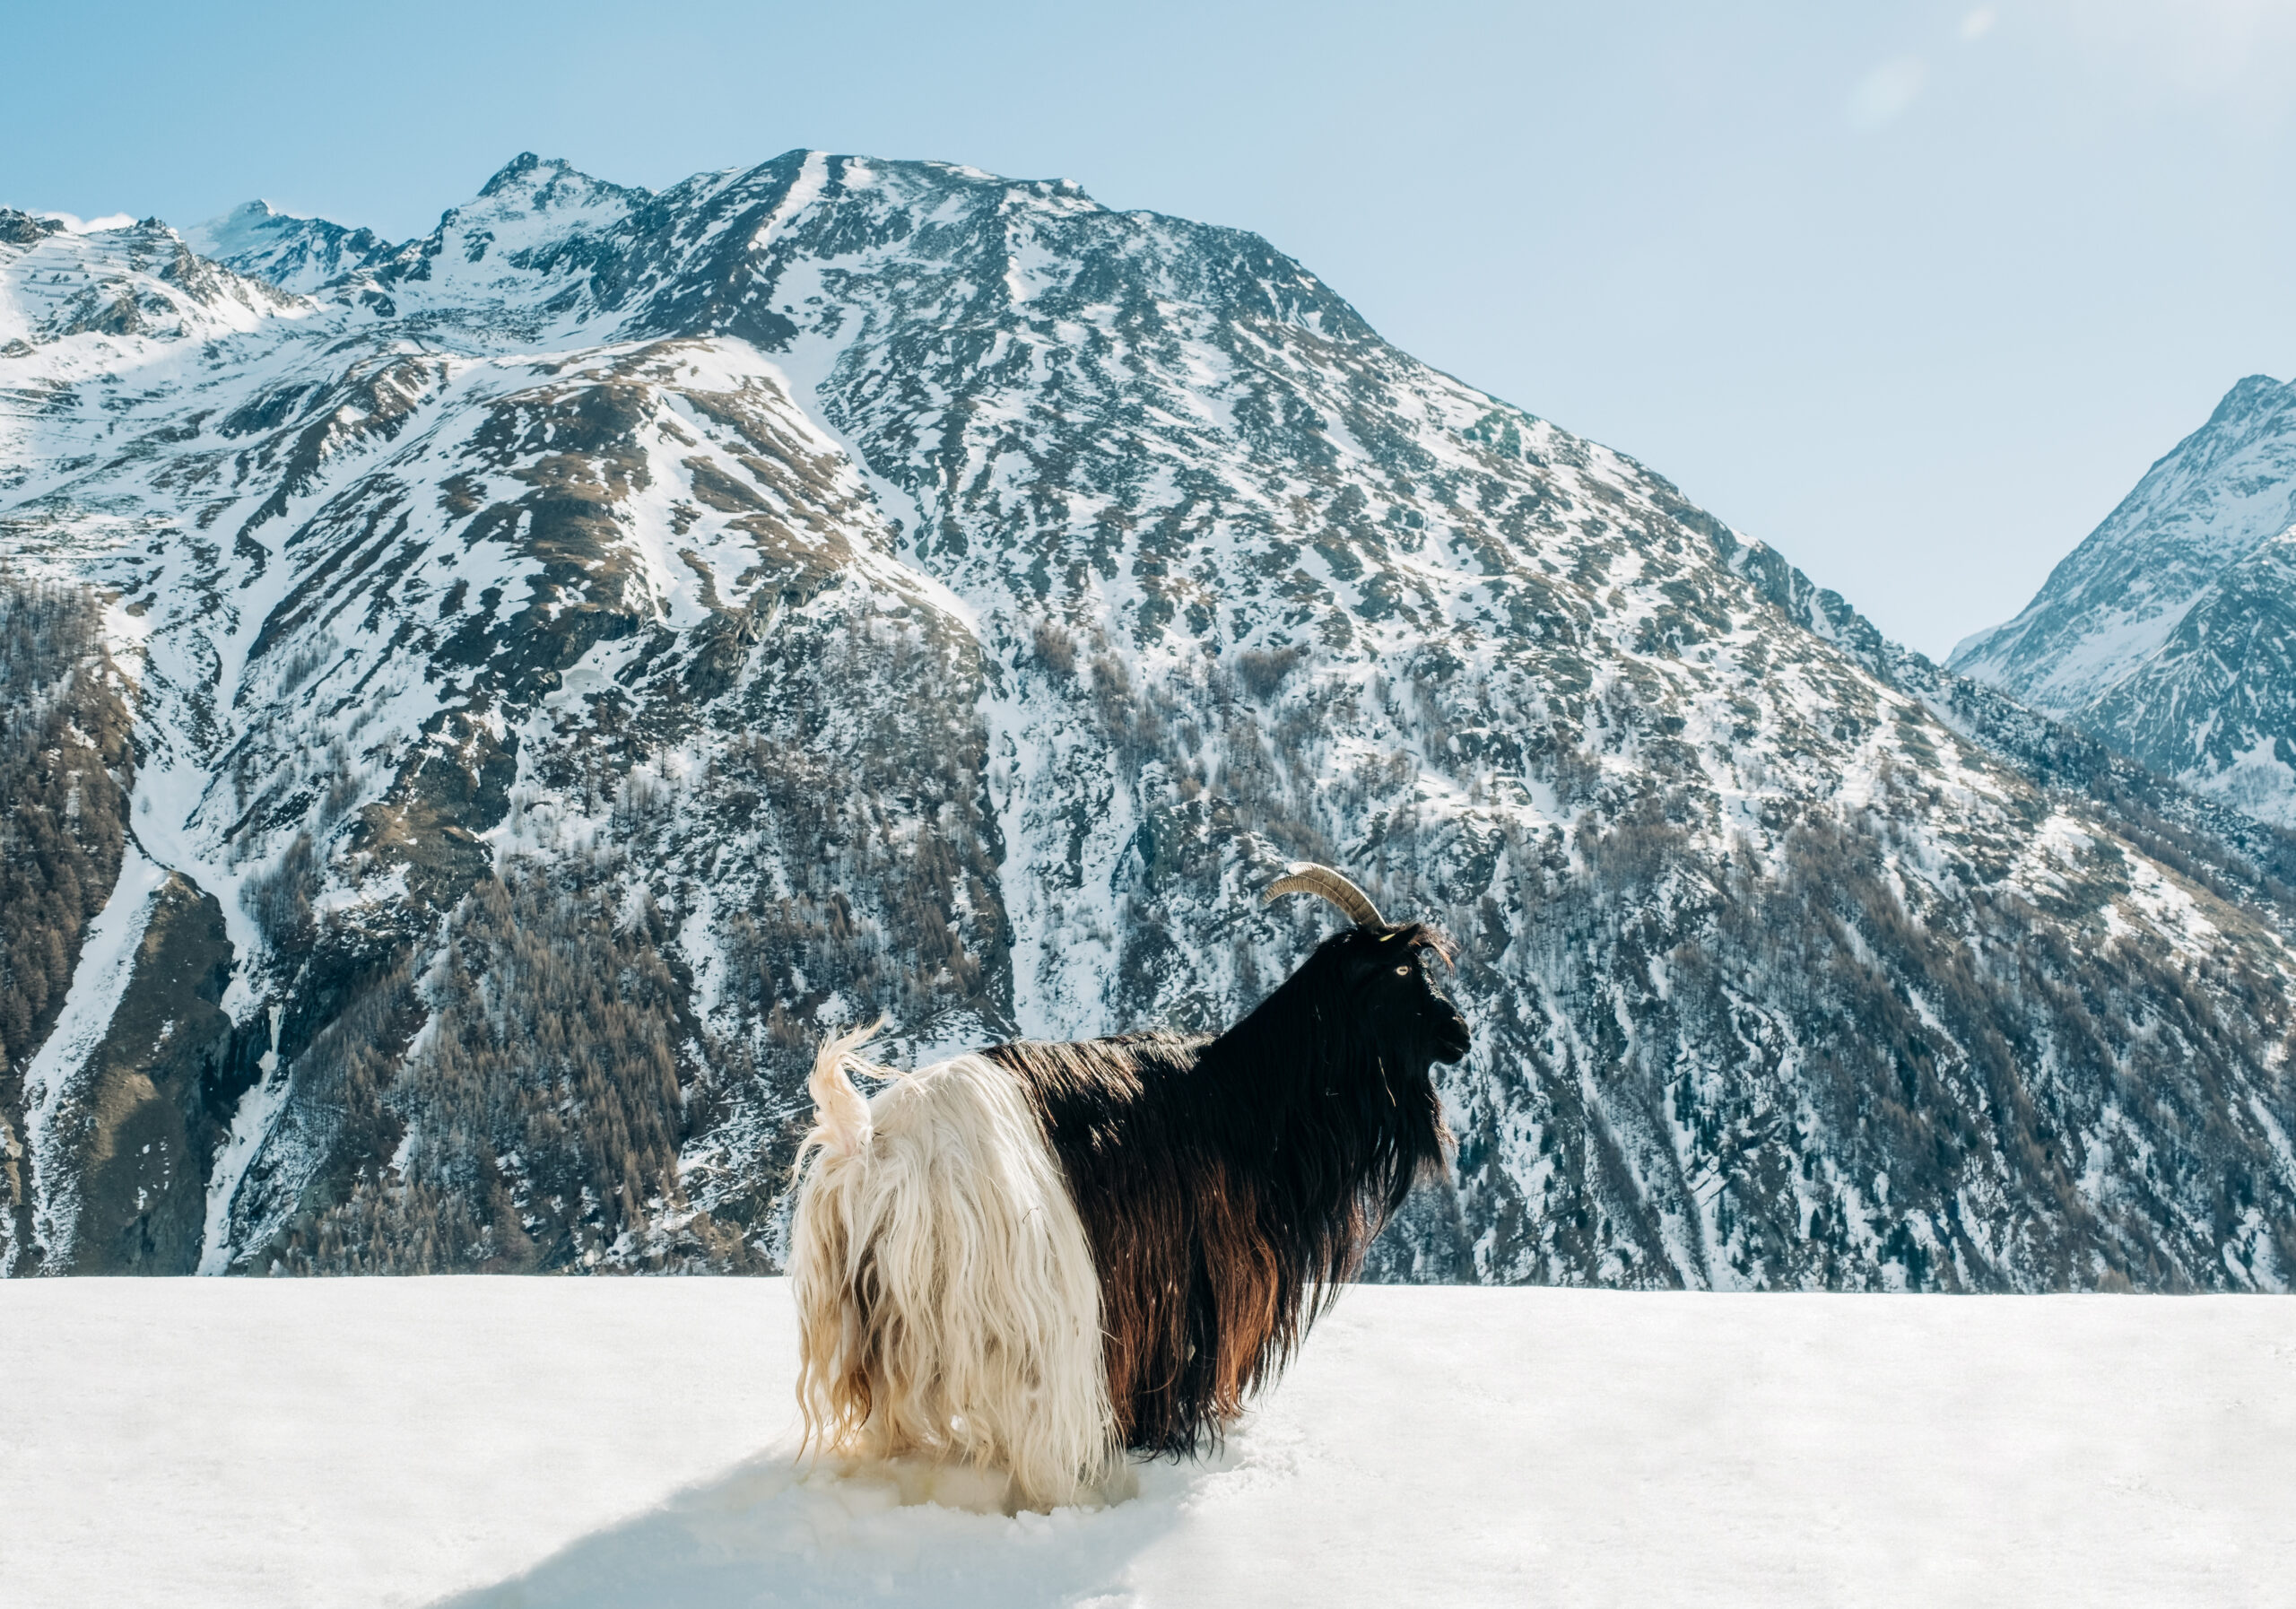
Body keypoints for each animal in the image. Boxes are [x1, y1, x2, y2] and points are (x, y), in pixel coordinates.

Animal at [786, 862, 1471, 1508]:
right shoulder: (1192, 1282)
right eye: (1402, 971)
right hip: (1021, 1319)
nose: (1460, 1032)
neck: (1245, 1097)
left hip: (878, 1321)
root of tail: (872, 1146)